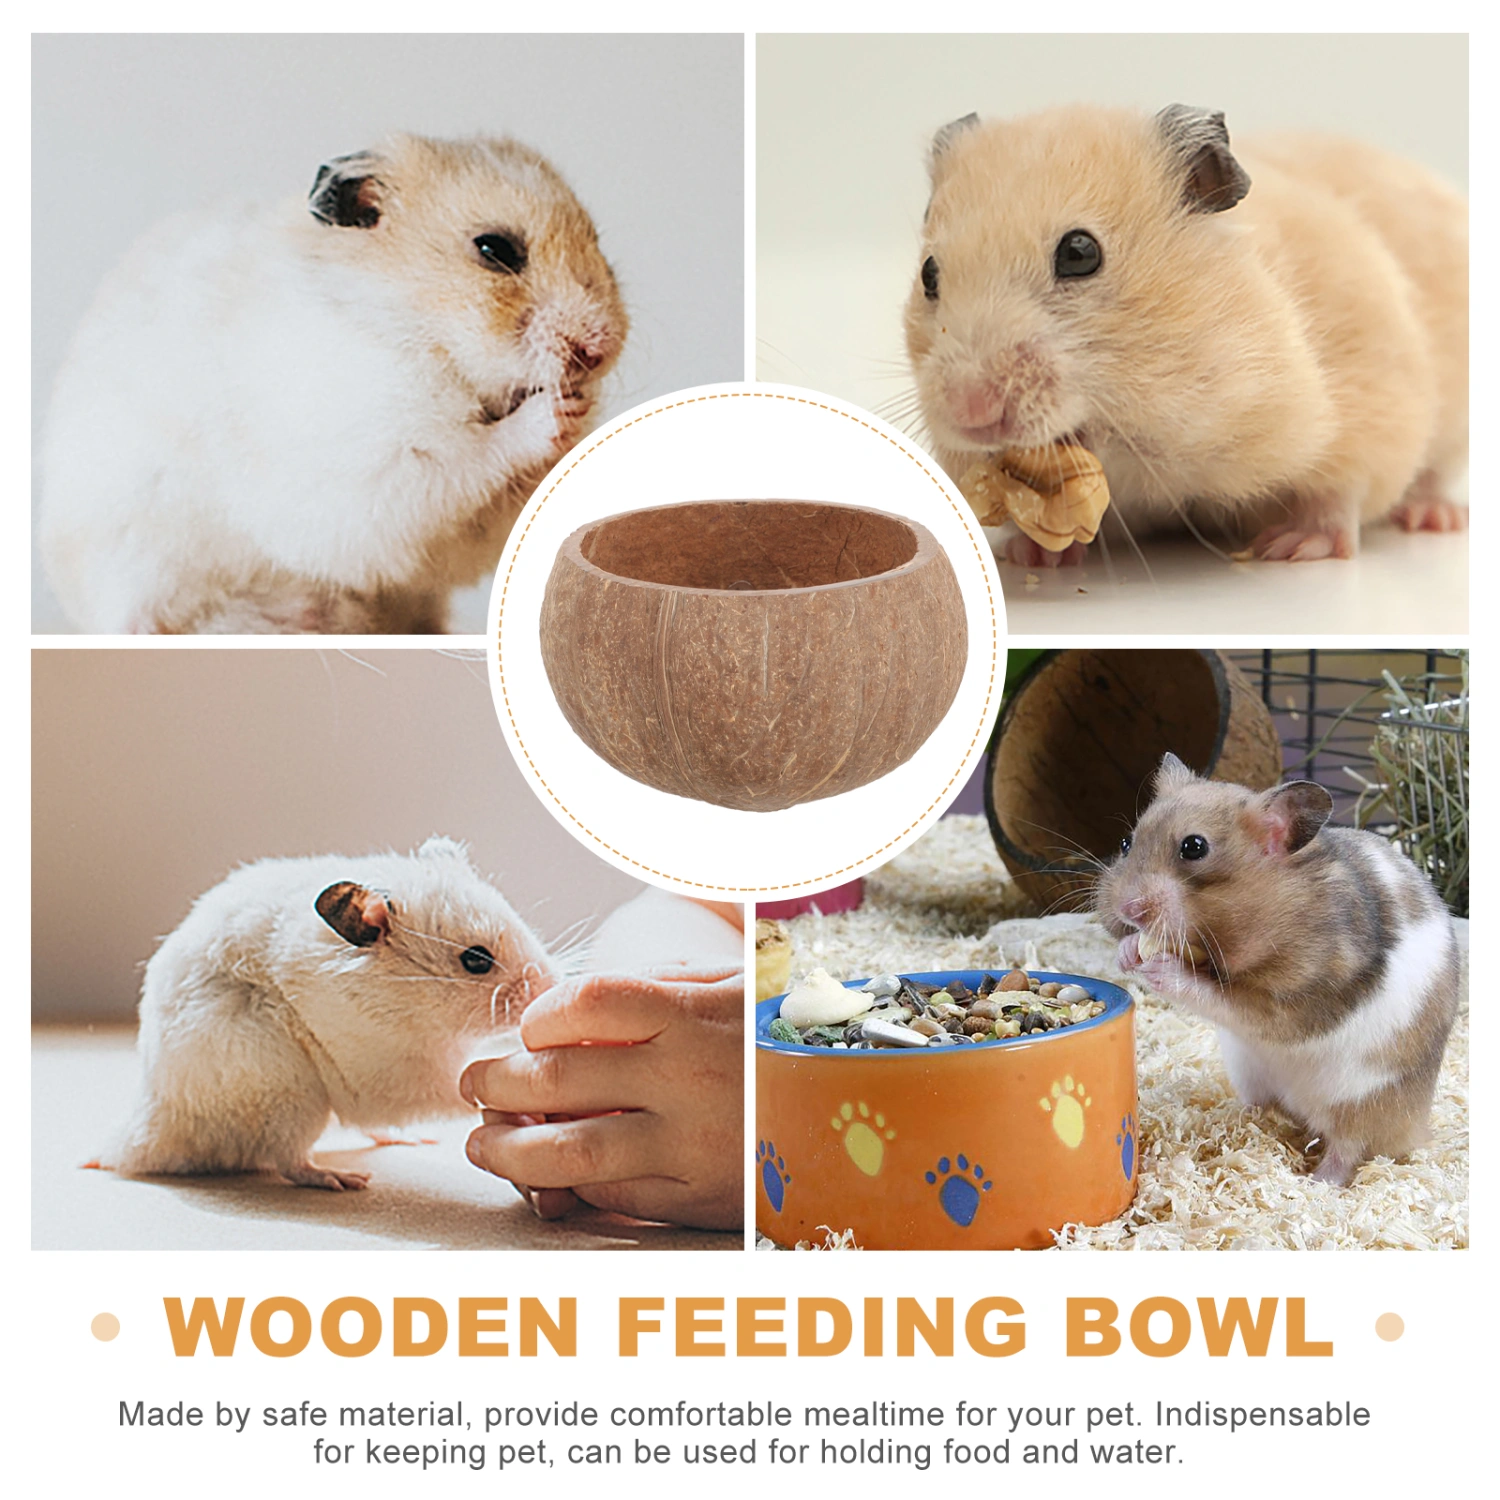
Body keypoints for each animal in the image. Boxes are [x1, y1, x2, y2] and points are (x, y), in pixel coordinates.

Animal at [40, 133, 627, 633]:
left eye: (599, 243)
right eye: (494, 250)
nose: (598, 350)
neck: (422, 331)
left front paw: (580, 410)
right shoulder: (377, 467)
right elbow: (470, 458)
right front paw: (555, 413)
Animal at [101, 837, 554, 1189]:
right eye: (476, 959)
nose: (546, 988)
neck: (411, 1006)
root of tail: (141, 1138)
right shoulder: (391, 1073)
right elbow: (457, 1086)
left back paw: (407, 1144)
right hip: (288, 1092)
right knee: (289, 1161)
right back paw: (341, 1180)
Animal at [905, 105, 1468, 566]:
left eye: (1080, 253)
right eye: (929, 273)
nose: (970, 413)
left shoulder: (1373, 395)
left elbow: (1338, 492)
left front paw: (1291, 547)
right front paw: (1033, 553)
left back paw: (1432, 517)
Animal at [1096, 752, 1461, 1185]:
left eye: (1194, 847)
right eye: (1126, 842)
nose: (1127, 909)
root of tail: (1419, 1129)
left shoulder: (1294, 999)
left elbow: (1219, 996)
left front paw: (1159, 966)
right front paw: (1128, 952)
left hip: (1363, 1100)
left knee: (1348, 1148)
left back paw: (1318, 1182)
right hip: (1250, 1074)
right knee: (1265, 1108)